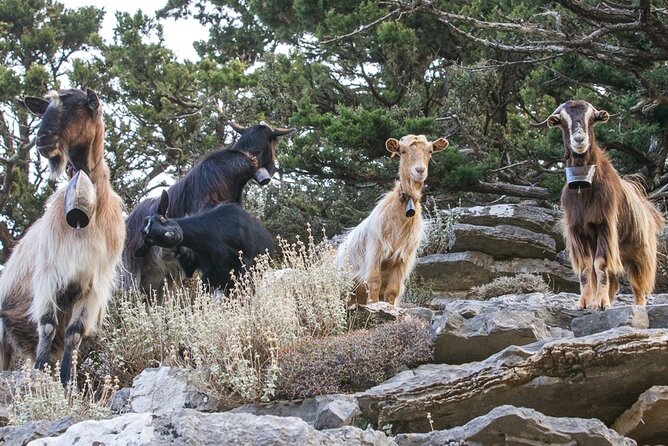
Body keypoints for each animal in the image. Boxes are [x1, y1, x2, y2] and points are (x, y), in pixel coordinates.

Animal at [0, 88, 124, 384]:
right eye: (44, 108)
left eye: (79, 107)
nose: (43, 139)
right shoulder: (49, 274)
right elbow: (47, 326)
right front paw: (40, 373)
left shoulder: (91, 285)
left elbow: (74, 333)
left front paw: (68, 380)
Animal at [536, 100, 664, 310]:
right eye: (562, 120)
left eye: (591, 118)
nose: (579, 139)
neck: (583, 186)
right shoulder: (577, 230)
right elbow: (586, 267)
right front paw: (585, 302)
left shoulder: (605, 225)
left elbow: (600, 264)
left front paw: (602, 304)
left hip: (640, 252)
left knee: (638, 283)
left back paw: (637, 306)